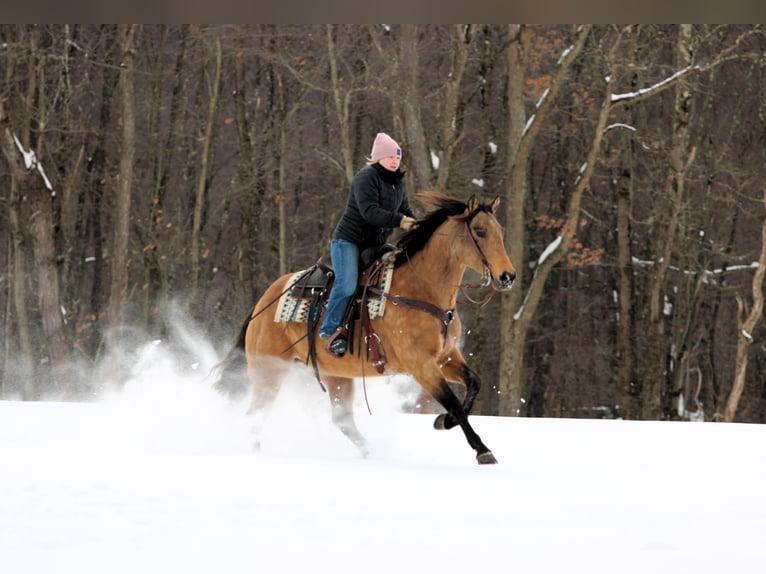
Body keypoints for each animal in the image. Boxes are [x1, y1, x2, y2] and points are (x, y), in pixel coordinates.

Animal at [215, 191, 516, 464]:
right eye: (480, 232)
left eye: (500, 232)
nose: (508, 276)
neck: (421, 291)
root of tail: (261, 305)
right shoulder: (421, 365)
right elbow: (454, 403)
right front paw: (482, 449)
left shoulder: (446, 358)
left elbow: (474, 384)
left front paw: (443, 421)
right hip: (268, 371)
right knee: (255, 414)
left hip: (335, 375)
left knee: (342, 420)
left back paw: (372, 452)